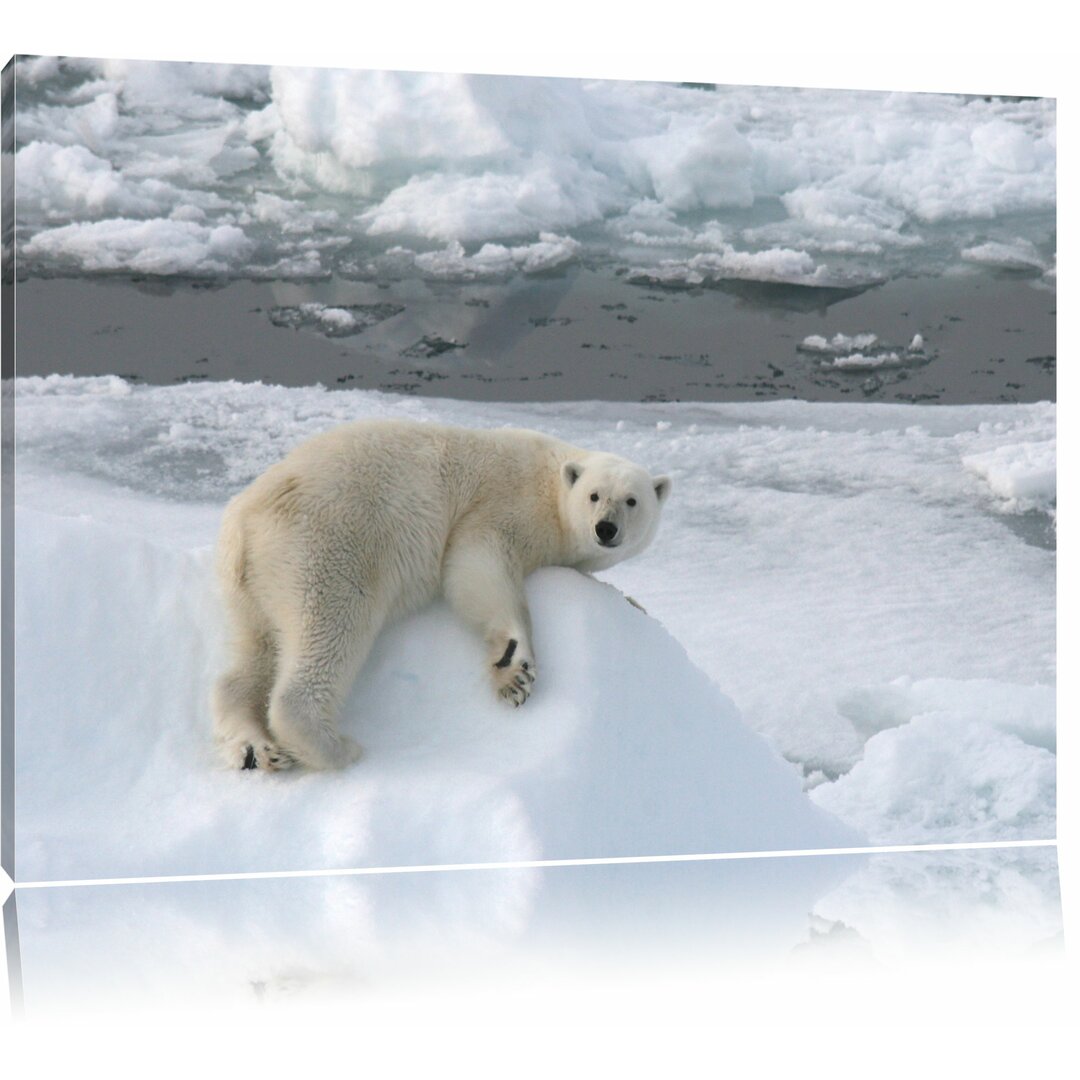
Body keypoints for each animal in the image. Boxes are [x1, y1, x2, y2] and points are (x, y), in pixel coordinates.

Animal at [210, 416, 669, 773]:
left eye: (632, 500)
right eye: (594, 495)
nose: (605, 528)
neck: (551, 480)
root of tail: (244, 518)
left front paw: (636, 604)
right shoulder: (504, 502)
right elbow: (476, 561)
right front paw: (515, 670)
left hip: (252, 584)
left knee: (253, 655)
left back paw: (255, 749)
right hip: (328, 545)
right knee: (330, 629)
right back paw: (335, 747)